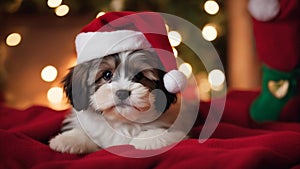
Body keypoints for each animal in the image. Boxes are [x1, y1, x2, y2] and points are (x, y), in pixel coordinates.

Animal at [50, 49, 186, 154]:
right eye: (107, 74)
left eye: (139, 76)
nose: (122, 93)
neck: (122, 123)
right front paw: (69, 139)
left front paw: (149, 140)